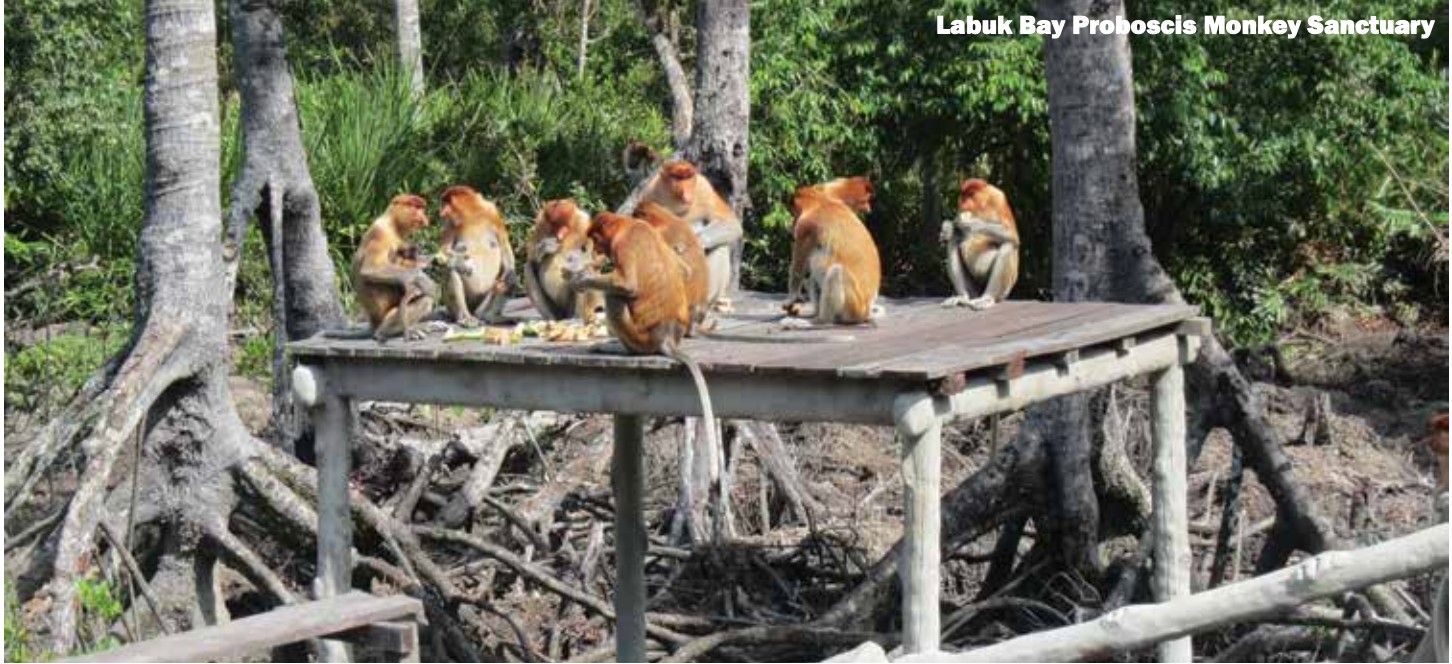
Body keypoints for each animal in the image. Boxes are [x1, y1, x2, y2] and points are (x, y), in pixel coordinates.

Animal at [330, 194, 438, 342]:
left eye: (422, 208)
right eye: (416, 207)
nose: (424, 218)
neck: (393, 224)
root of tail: (373, 322)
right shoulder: (380, 233)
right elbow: (370, 269)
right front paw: (421, 278)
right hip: (388, 315)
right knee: (425, 299)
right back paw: (386, 332)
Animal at [437, 186, 517, 327]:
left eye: (447, 203)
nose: (441, 213)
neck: (471, 214)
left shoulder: (493, 213)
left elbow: (507, 254)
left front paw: (505, 282)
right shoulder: (449, 224)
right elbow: (443, 254)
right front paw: (463, 265)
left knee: (510, 278)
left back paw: (490, 316)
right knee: (450, 269)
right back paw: (465, 318)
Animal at [636, 160, 743, 314]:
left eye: (688, 177)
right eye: (677, 177)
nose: (686, 193)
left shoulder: (704, 188)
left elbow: (730, 222)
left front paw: (695, 241)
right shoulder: (649, 193)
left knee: (721, 246)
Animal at [780, 177, 882, 328]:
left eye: (794, 212)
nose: (792, 223)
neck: (819, 202)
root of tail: (866, 311)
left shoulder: (805, 227)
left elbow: (798, 266)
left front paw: (790, 300)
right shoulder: (828, 193)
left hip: (853, 306)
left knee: (835, 272)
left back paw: (817, 321)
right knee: (814, 275)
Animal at [941, 178, 1020, 310]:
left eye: (970, 195)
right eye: (963, 196)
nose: (964, 202)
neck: (983, 204)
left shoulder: (999, 199)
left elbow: (1011, 234)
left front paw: (969, 223)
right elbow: (954, 232)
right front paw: (948, 228)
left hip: (1005, 290)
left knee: (1008, 245)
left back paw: (987, 298)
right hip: (973, 289)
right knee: (952, 241)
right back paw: (962, 297)